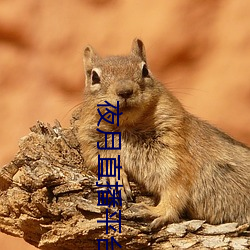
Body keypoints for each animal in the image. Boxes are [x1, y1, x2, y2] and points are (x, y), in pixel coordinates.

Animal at [77, 38, 249, 229]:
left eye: (145, 70)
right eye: (94, 77)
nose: (125, 91)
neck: (126, 127)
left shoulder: (175, 153)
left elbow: (175, 189)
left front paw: (156, 211)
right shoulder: (91, 142)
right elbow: (97, 160)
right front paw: (114, 178)